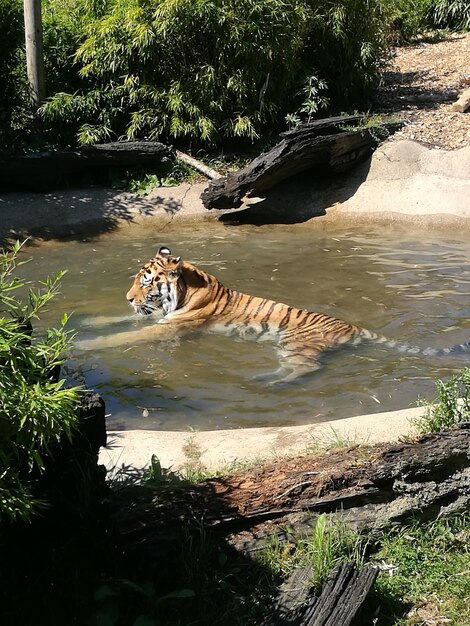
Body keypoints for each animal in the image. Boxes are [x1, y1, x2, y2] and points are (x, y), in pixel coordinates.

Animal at [101, 245, 468, 386]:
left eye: (146, 281)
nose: (127, 297)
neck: (190, 287)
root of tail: (353, 326)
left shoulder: (168, 327)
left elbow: (120, 337)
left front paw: (90, 348)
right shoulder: (157, 318)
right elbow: (112, 323)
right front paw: (94, 321)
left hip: (294, 343)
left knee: (306, 368)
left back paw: (272, 383)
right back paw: (264, 378)